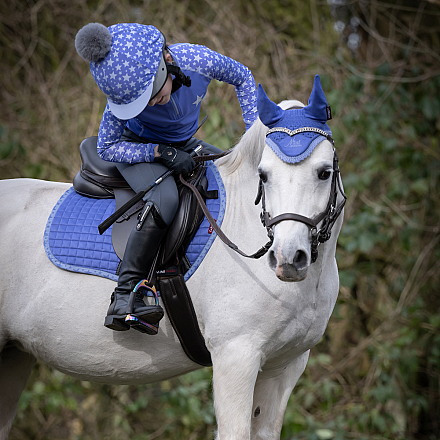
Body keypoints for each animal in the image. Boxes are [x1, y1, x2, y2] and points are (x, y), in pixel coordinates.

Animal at [0, 80, 344, 440]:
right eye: (263, 175)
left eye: (324, 173)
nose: (287, 258)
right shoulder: (236, 356)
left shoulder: (285, 366)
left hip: (13, 356)